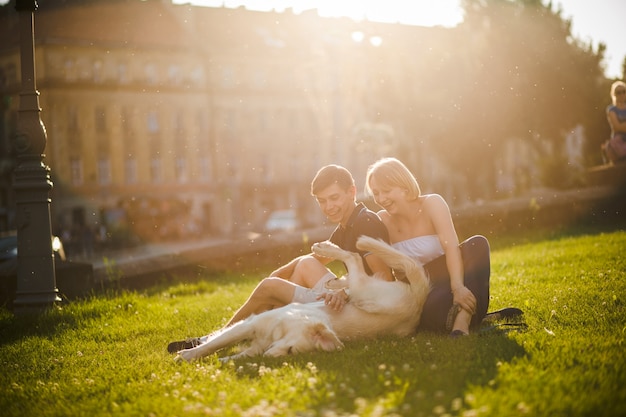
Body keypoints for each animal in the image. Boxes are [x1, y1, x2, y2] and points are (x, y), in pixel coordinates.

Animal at [174, 234, 428, 360]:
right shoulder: (250, 324)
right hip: (365, 292)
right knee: (354, 258)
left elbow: (234, 353)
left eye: (291, 353)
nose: (269, 356)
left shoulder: (254, 336)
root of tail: (419, 300)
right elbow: (215, 343)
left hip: (367, 293)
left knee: (355, 260)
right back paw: (330, 260)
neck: (283, 328)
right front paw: (189, 354)